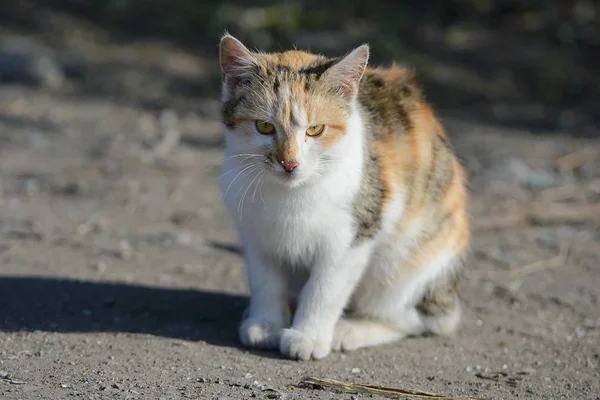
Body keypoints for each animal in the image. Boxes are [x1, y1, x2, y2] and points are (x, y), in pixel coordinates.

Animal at [218, 32, 472, 360]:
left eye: (315, 129)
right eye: (264, 126)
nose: (289, 163)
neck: (290, 195)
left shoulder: (353, 234)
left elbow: (325, 289)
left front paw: (308, 336)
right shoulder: (254, 231)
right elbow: (265, 280)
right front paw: (266, 324)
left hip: (407, 264)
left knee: (416, 319)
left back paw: (350, 329)